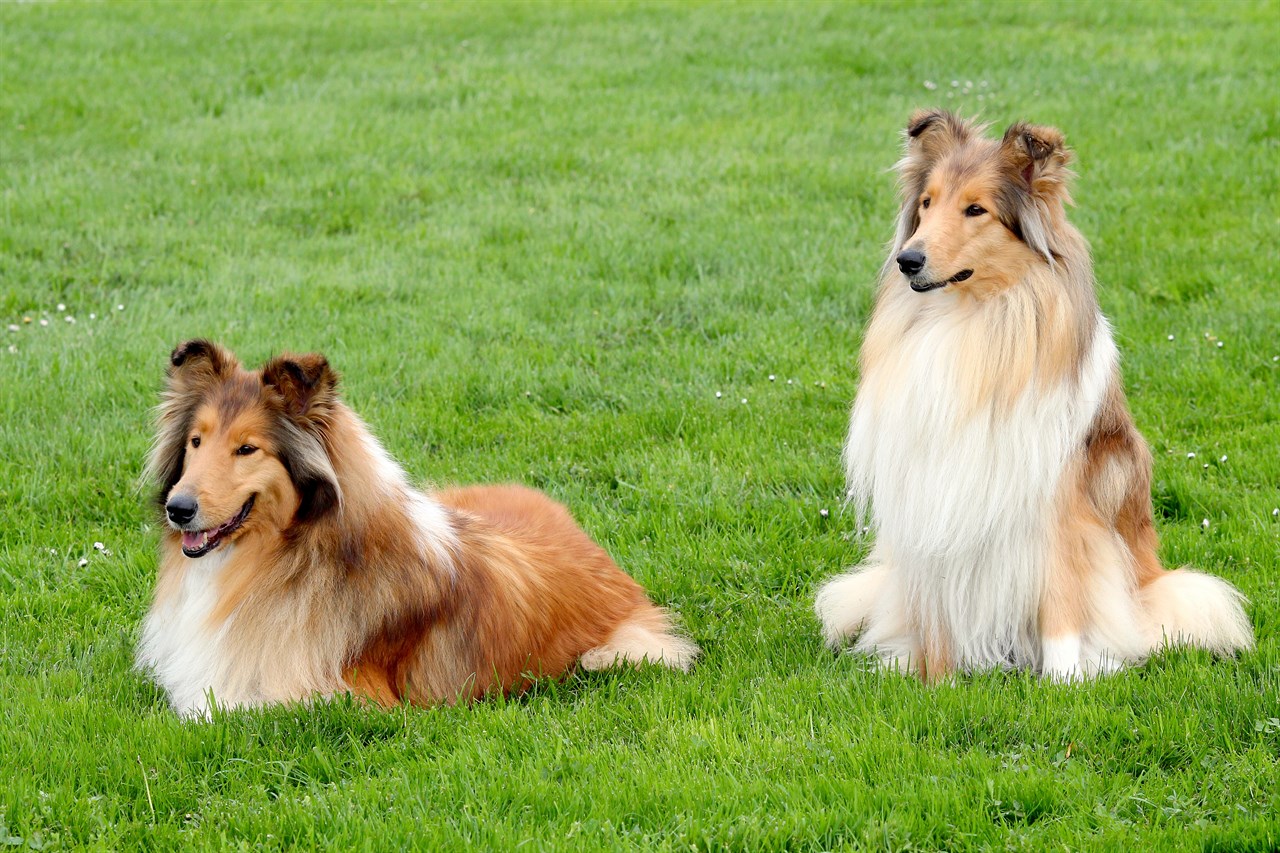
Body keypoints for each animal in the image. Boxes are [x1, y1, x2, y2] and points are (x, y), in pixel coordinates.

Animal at [137, 338, 701, 717]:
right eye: (195, 442)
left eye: (247, 448)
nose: (177, 508)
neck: (292, 554)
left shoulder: (340, 698)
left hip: (623, 651)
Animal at [819, 109, 1249, 676]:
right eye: (927, 203)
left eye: (976, 209)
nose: (907, 261)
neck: (968, 322)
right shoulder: (929, 493)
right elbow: (935, 604)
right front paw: (936, 679)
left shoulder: (1063, 507)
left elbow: (1062, 599)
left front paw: (1064, 681)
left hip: (1166, 594)